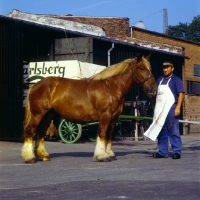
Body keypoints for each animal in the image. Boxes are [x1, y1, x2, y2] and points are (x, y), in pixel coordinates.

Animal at [21, 53, 156, 162]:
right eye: (141, 68)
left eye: (150, 68)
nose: (153, 90)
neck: (111, 86)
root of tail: (35, 85)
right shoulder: (105, 115)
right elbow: (102, 133)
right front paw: (102, 156)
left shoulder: (114, 118)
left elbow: (109, 135)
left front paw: (110, 154)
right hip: (38, 114)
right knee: (30, 131)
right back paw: (29, 157)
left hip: (48, 115)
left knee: (41, 132)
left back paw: (43, 156)